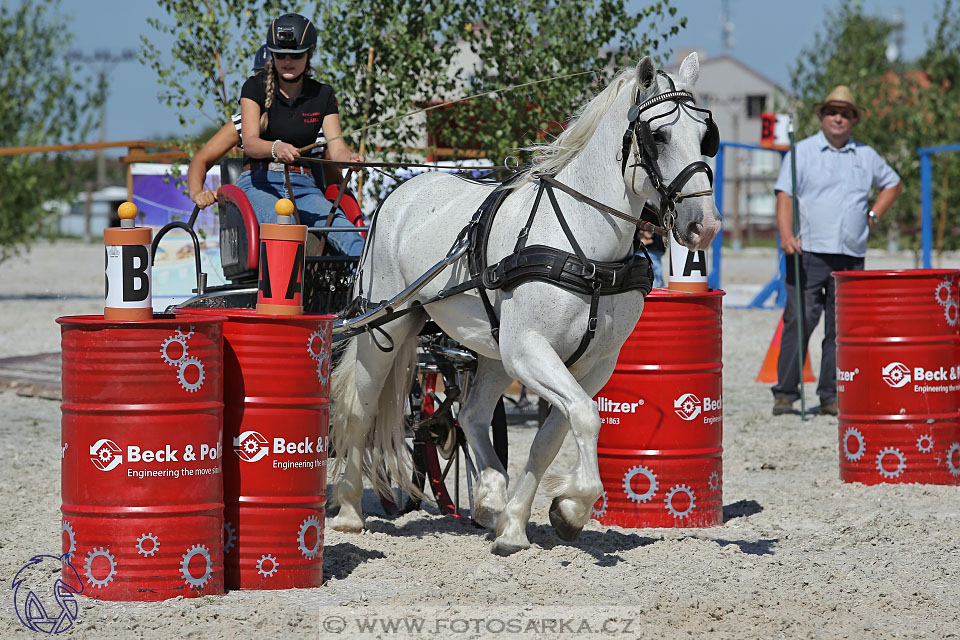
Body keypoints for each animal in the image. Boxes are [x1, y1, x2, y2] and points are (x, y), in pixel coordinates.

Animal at [330, 53, 720, 556]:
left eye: (706, 135)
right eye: (659, 136)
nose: (704, 226)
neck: (585, 247)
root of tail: (399, 193)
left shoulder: (593, 364)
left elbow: (554, 435)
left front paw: (529, 521)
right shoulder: (529, 349)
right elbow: (585, 417)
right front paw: (572, 504)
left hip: (492, 348)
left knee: (472, 414)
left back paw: (490, 500)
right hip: (386, 326)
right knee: (359, 410)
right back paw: (349, 510)